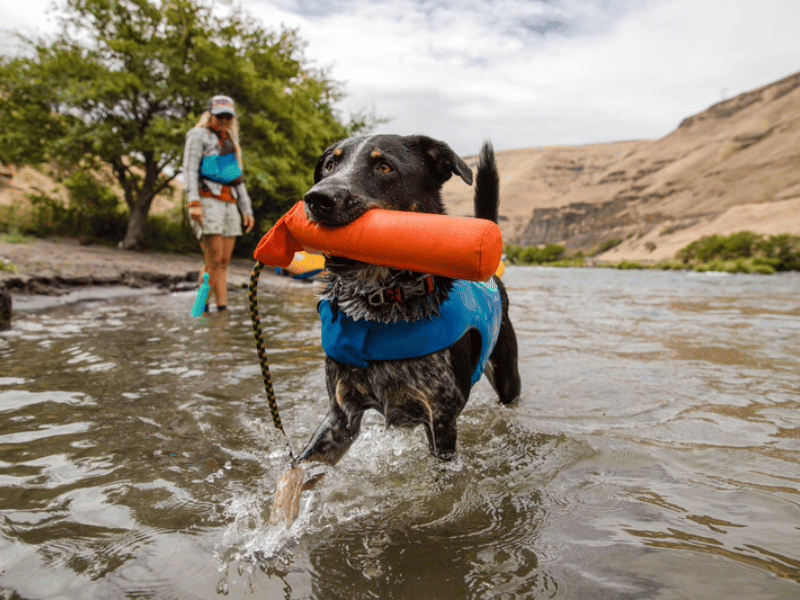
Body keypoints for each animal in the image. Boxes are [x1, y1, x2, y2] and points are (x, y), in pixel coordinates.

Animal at [270, 135, 520, 524]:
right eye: (329, 165)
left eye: (384, 167)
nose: (317, 198)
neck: (382, 304)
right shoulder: (341, 418)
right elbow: (291, 474)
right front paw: (272, 530)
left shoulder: (441, 421)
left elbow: (443, 489)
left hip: (508, 378)